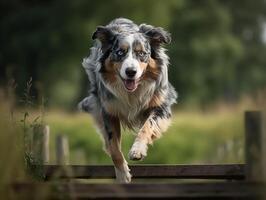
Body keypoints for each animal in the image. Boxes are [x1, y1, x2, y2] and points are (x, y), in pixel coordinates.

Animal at [80, 18, 178, 183]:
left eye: (141, 54)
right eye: (120, 52)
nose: (131, 72)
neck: (131, 93)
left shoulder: (161, 105)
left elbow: (147, 126)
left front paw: (137, 151)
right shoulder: (109, 111)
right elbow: (113, 146)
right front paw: (122, 174)